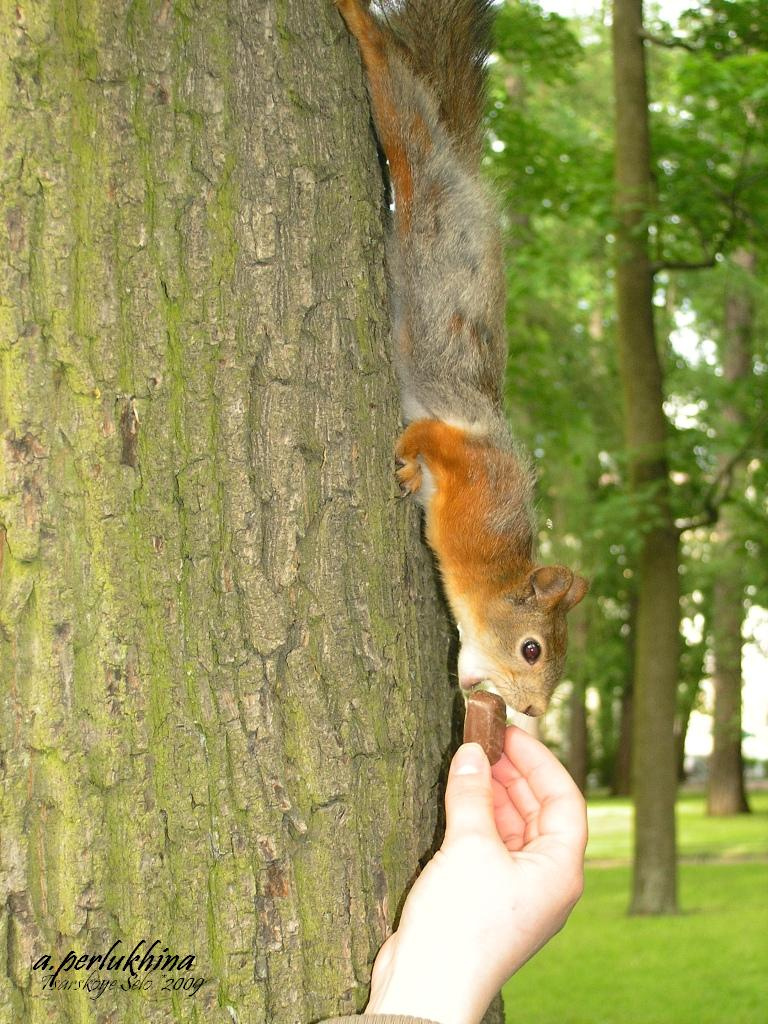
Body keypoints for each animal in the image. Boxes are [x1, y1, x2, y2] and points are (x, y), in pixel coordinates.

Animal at [336, 0, 588, 717]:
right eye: (531, 649)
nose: (531, 711)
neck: (495, 559)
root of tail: (466, 172)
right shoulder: (470, 461)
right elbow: (429, 434)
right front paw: (404, 454)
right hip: (421, 172)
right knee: (403, 109)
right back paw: (361, 26)